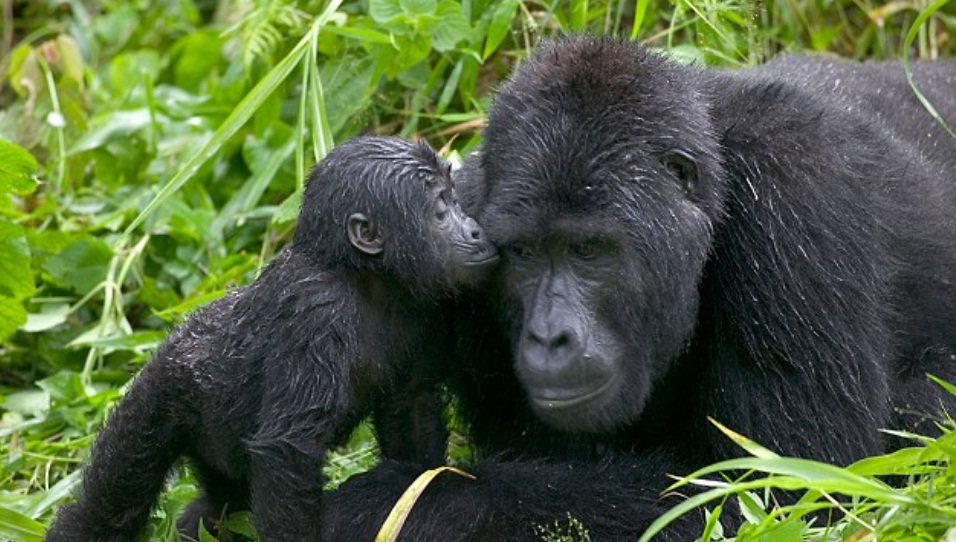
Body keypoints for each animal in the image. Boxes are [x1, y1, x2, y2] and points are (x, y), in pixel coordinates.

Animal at [44, 136, 496, 542]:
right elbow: (288, 449)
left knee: (221, 507)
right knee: (116, 493)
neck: (363, 275)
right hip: (161, 392)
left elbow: (411, 411)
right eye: (441, 210)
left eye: (456, 201)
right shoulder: (317, 313)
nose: (476, 230)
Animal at [324, 36, 956, 540]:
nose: (549, 337)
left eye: (589, 251)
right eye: (523, 254)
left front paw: (394, 504)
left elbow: (783, 492)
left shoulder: (796, 191)